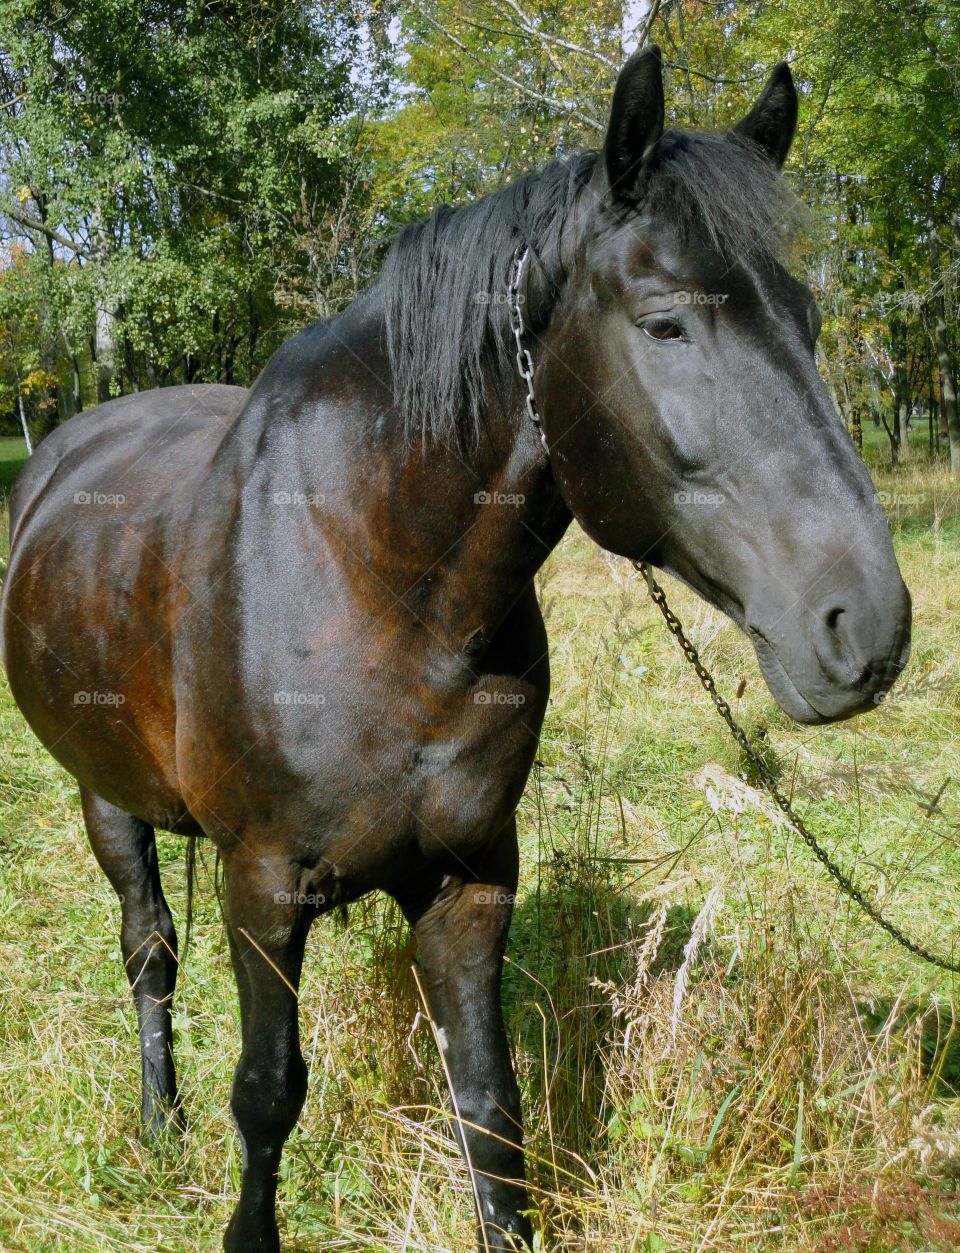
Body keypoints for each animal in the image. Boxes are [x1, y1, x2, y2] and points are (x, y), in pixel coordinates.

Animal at [1, 47, 910, 1252]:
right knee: (149, 949)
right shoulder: (262, 883)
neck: (377, 579)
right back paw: (160, 1125)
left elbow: (488, 1102)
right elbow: (268, 1089)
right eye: (667, 324)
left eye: (807, 318)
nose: (867, 624)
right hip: (105, 794)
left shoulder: (472, 878)